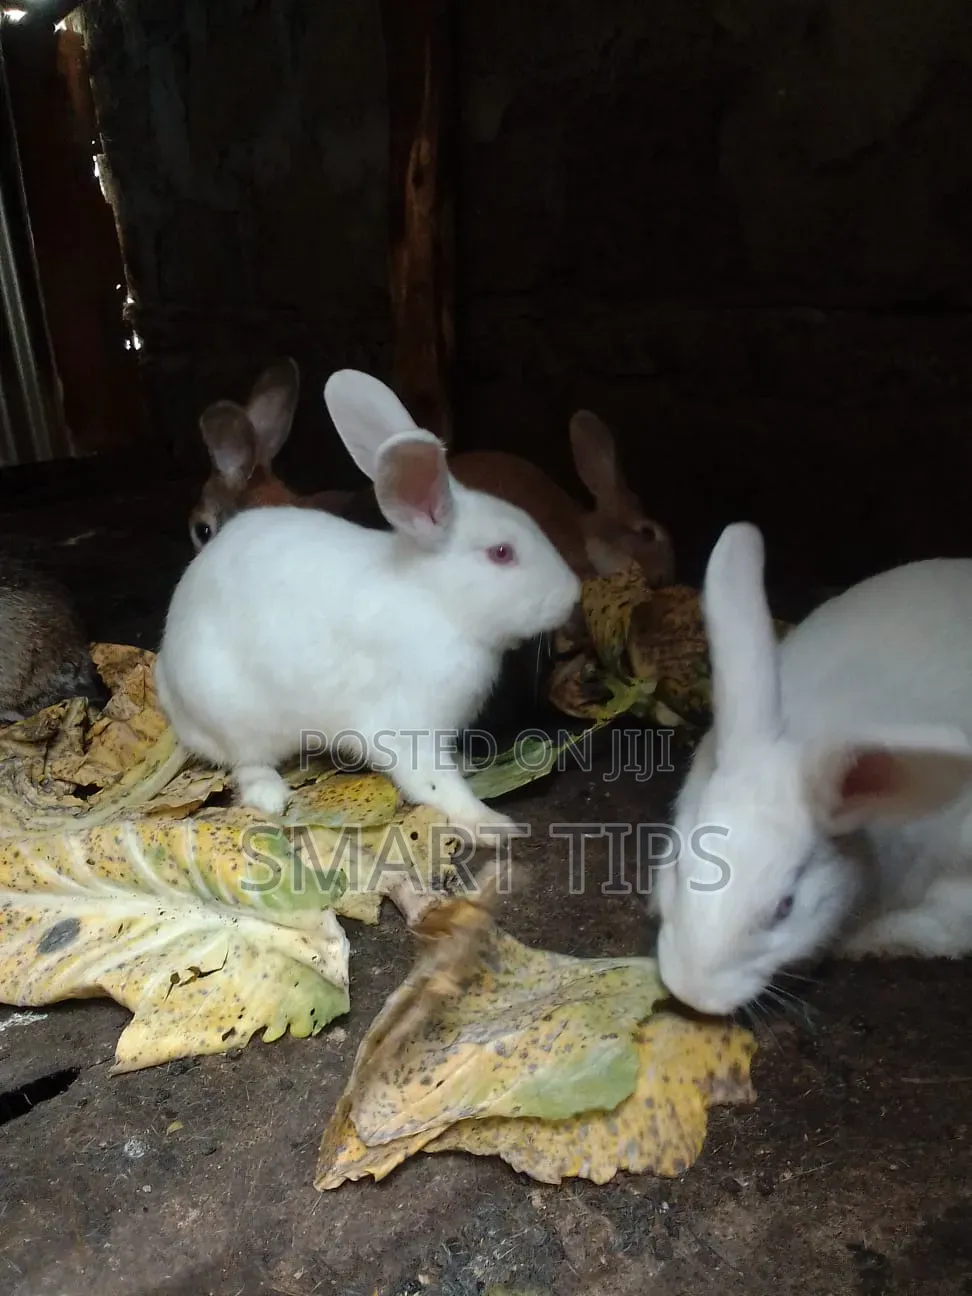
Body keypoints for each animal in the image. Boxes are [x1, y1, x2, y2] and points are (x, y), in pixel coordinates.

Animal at [154, 368, 582, 842]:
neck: (438, 601)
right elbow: (435, 782)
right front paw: (492, 825)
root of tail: (169, 689)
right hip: (240, 715)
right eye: (502, 553)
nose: (572, 594)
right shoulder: (408, 730)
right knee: (247, 763)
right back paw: (272, 795)